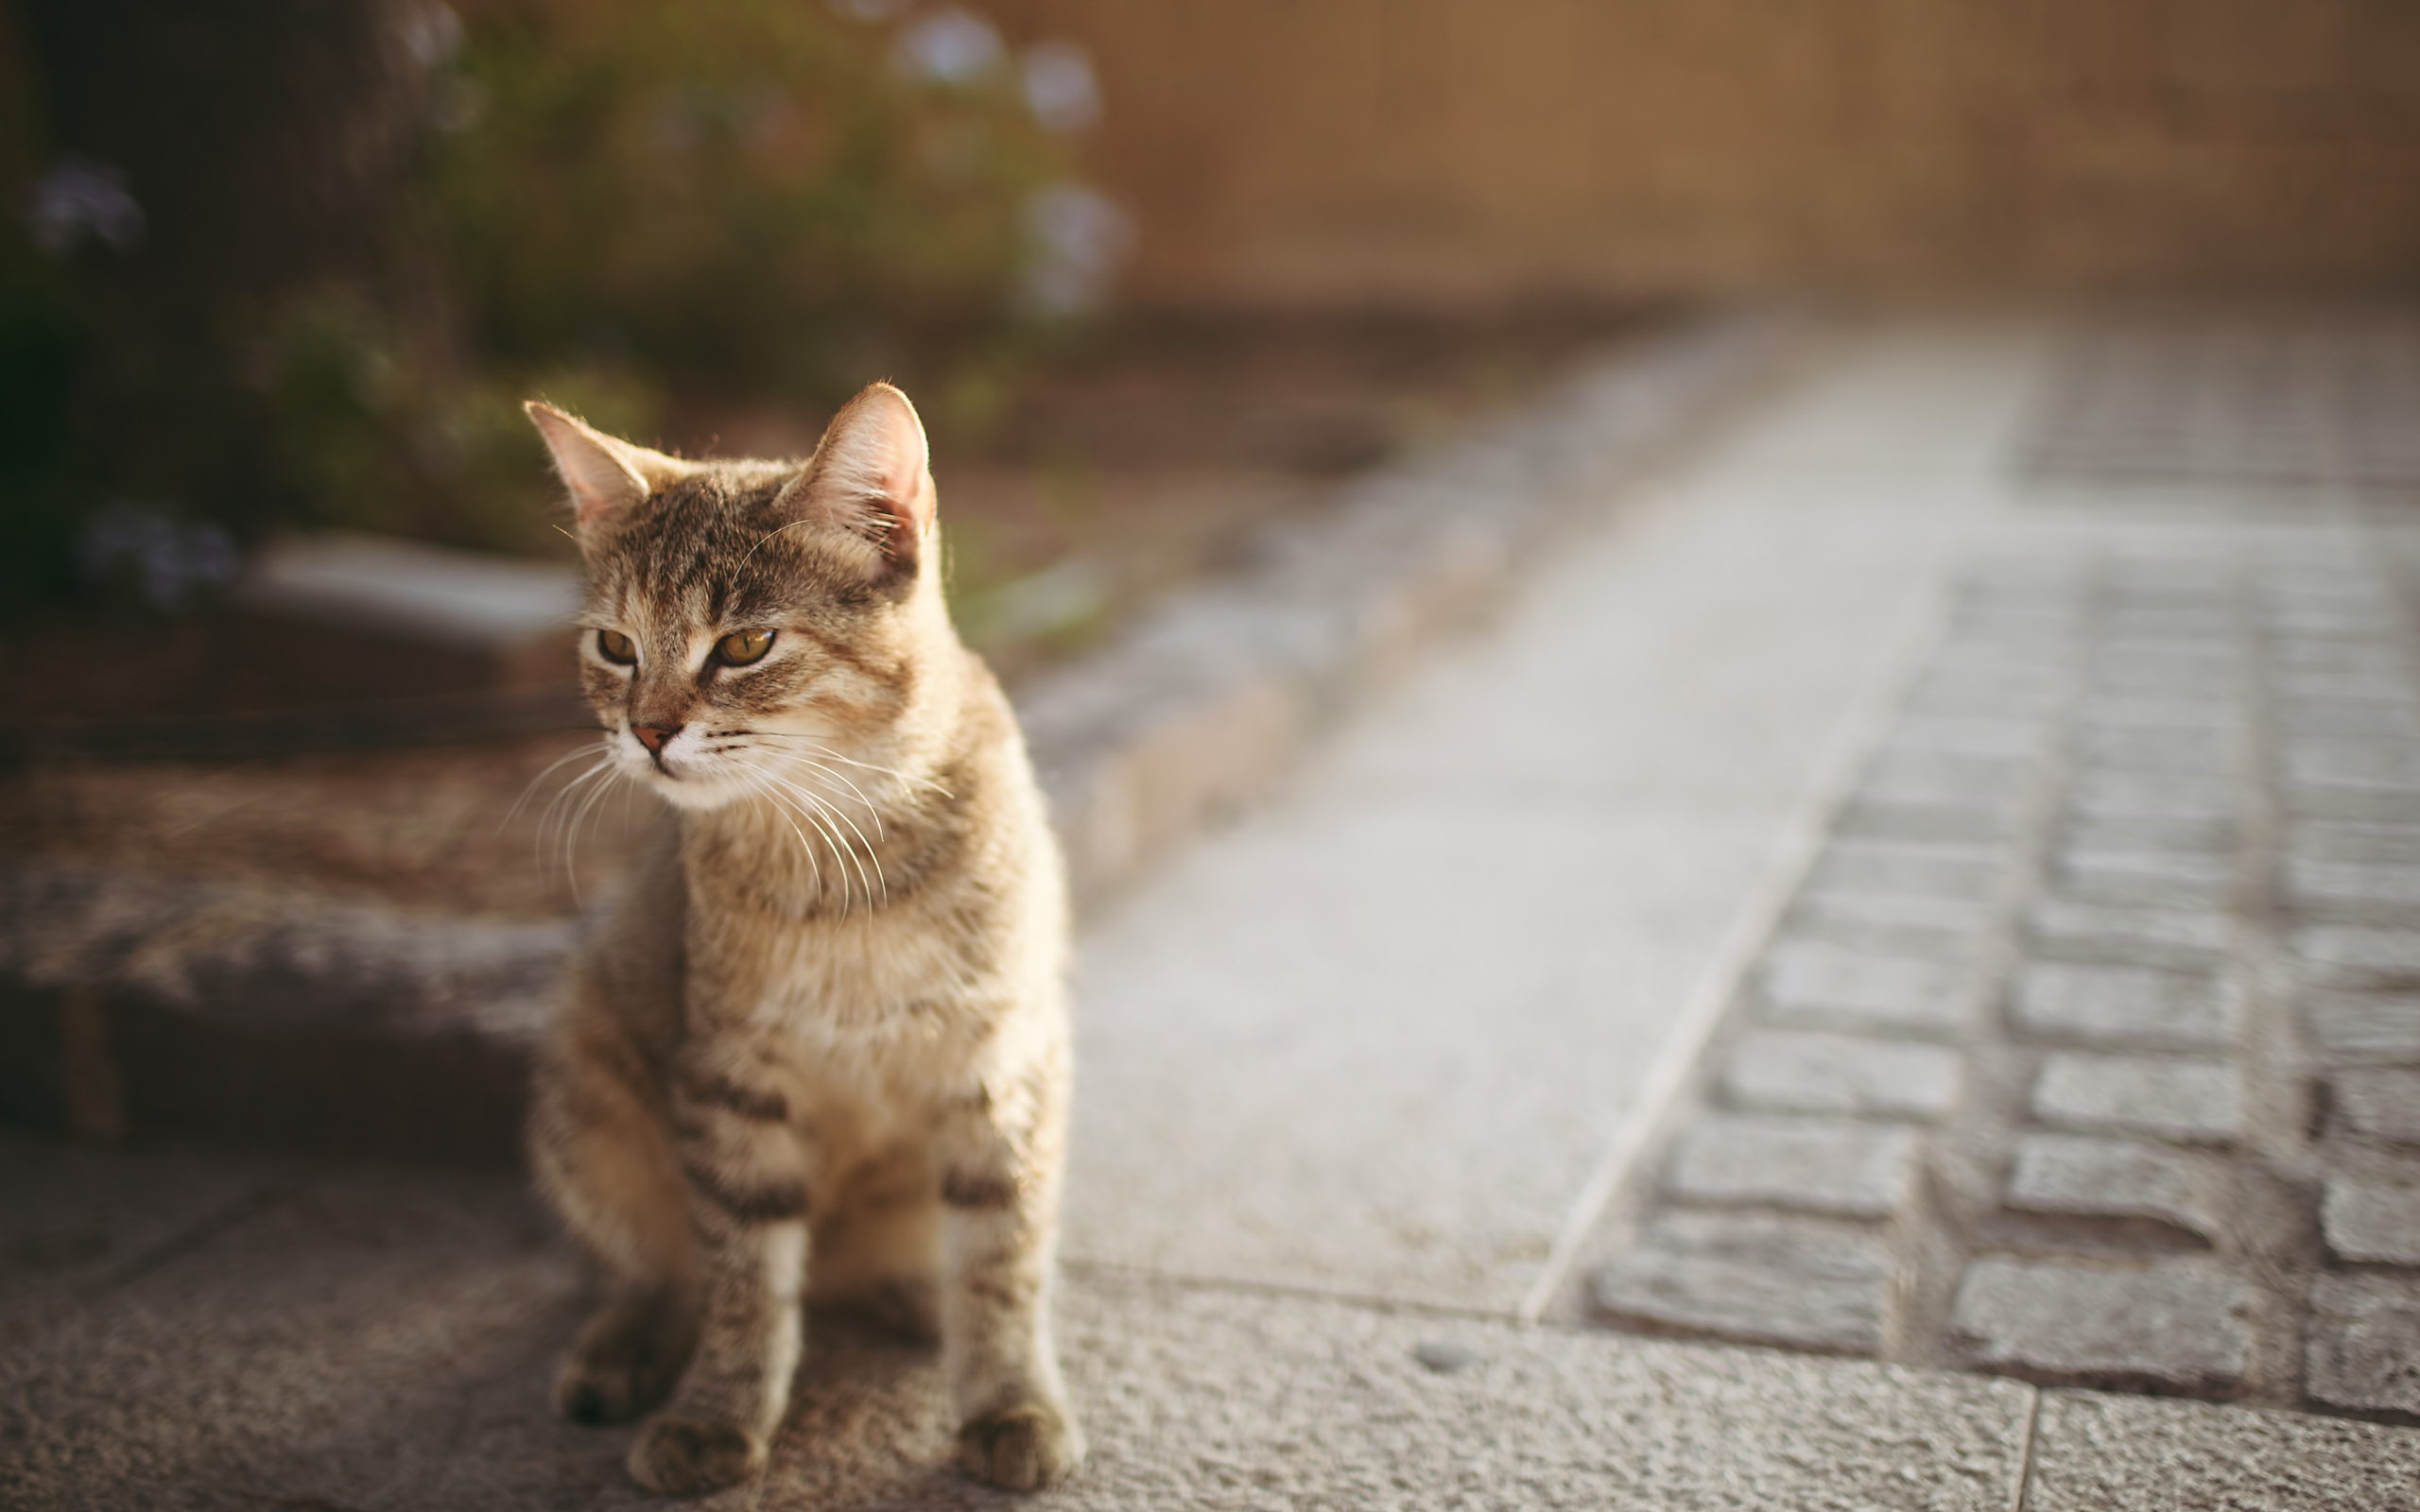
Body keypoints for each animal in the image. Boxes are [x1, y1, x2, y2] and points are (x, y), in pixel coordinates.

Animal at [525, 382, 1083, 1489]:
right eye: (616, 647)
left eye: (744, 646)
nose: (648, 731)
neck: (844, 872)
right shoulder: (731, 1081)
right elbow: (743, 1278)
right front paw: (719, 1410)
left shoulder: (1004, 1067)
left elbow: (1001, 1258)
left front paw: (1011, 1398)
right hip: (588, 1079)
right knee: (654, 1267)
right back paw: (621, 1347)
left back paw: (915, 1299)